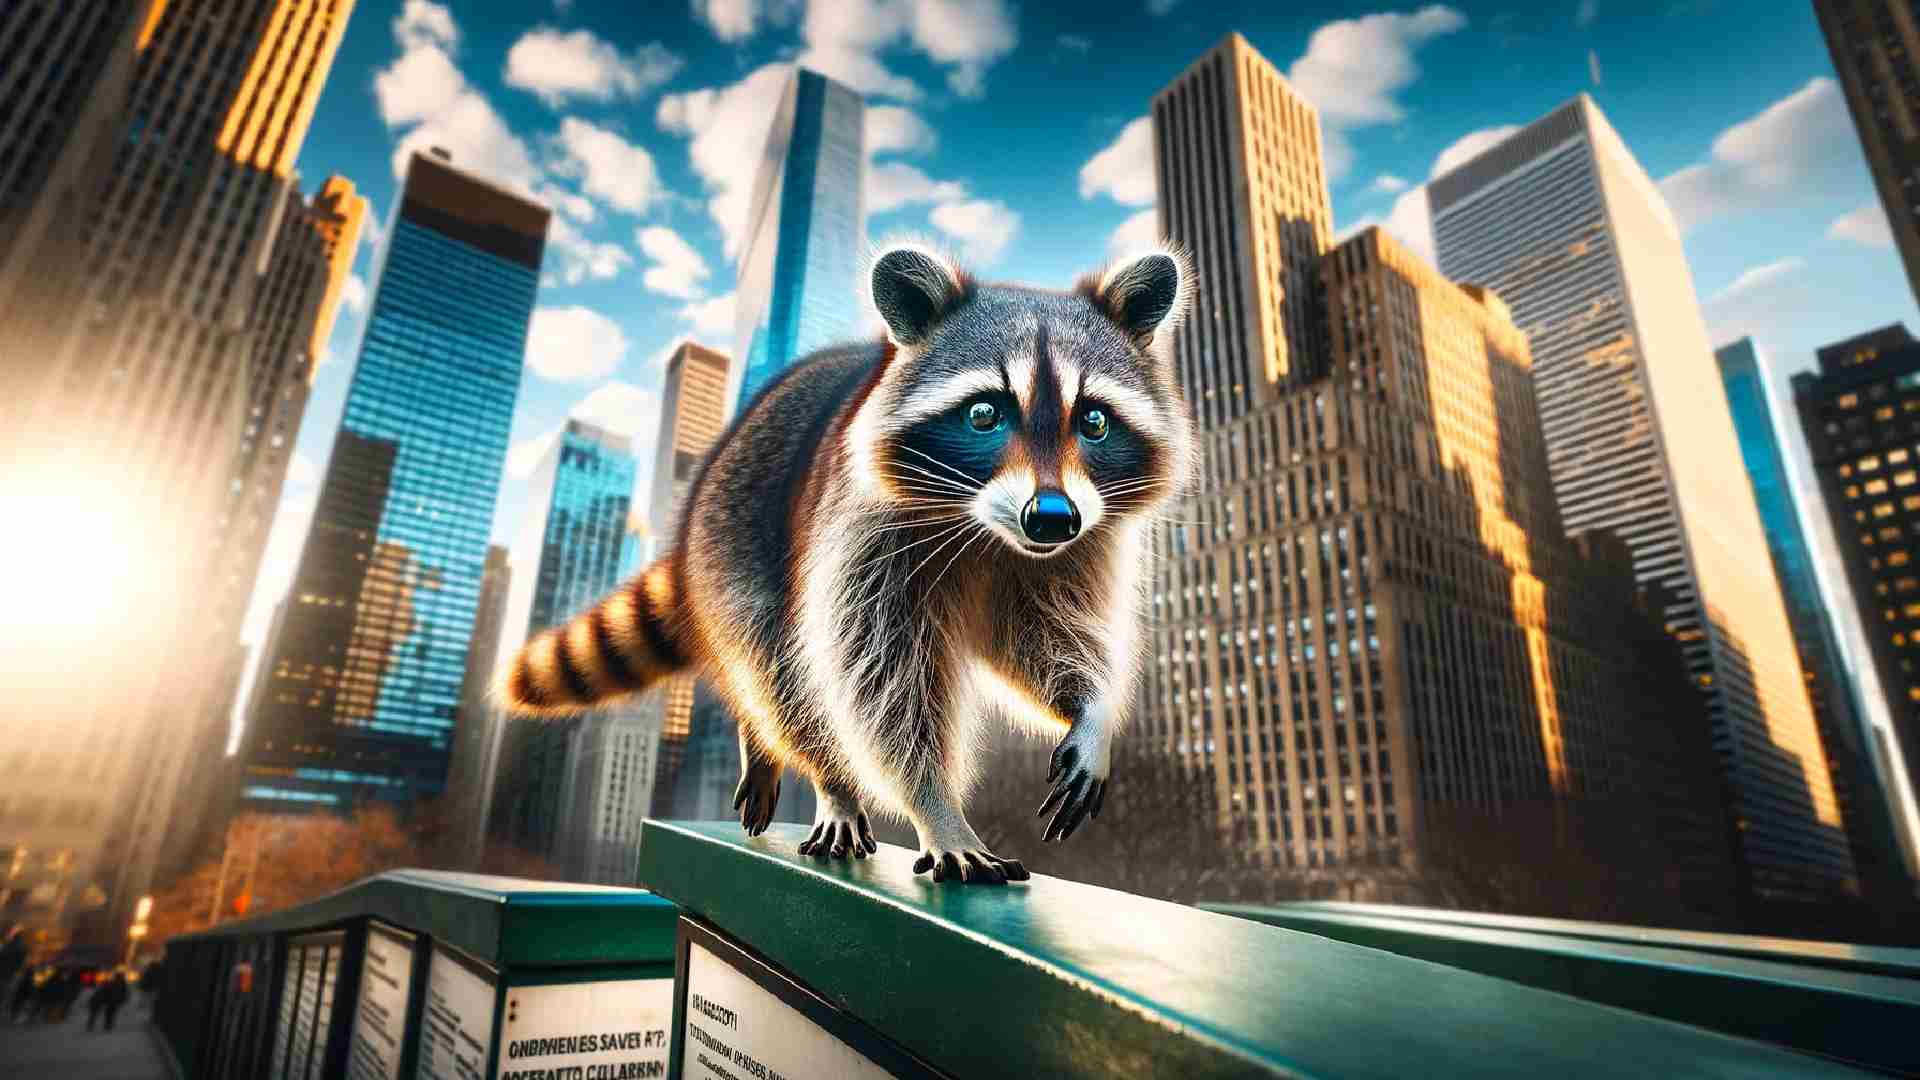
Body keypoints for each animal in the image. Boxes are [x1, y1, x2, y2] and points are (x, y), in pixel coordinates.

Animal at [500, 242, 1194, 884]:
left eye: (1095, 421)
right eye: (983, 413)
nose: (1050, 517)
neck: (985, 530)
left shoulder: (1076, 546)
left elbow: (1049, 637)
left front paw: (1093, 711)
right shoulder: (861, 533)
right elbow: (878, 687)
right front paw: (936, 808)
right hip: (736, 542)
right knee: (785, 675)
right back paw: (818, 775)